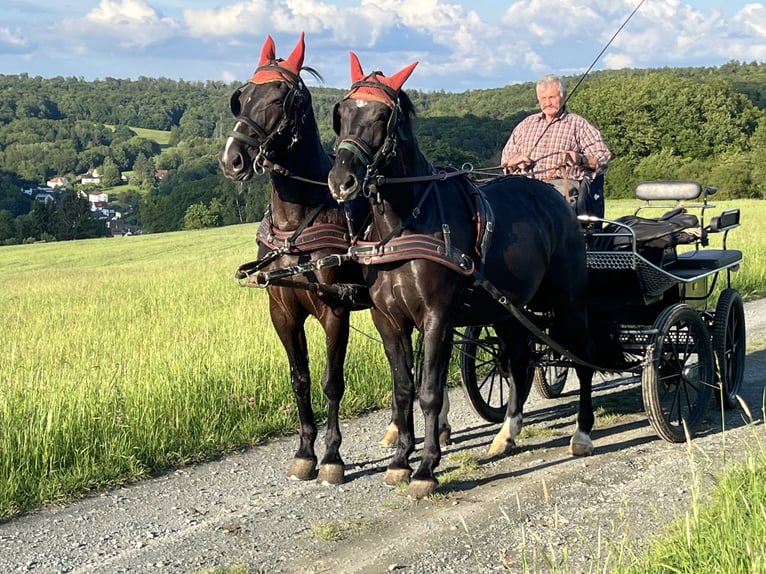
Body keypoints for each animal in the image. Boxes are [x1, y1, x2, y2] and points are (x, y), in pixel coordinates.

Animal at [218, 33, 368, 488]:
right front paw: (305, 452)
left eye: (279, 98)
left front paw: (333, 457)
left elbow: (332, 381)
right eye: (242, 97)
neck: (295, 226)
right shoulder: (282, 311)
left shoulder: (336, 309)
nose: (231, 158)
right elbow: (299, 379)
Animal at [328, 56, 596, 502]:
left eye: (382, 116)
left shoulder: (437, 318)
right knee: (517, 358)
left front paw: (425, 469)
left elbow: (430, 392)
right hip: (507, 309)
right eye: (343, 113)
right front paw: (399, 462)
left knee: (580, 354)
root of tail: (557, 196)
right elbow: (403, 390)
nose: (340, 181)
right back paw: (506, 434)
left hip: (569, 299)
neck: (403, 224)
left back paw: (583, 432)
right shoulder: (389, 320)